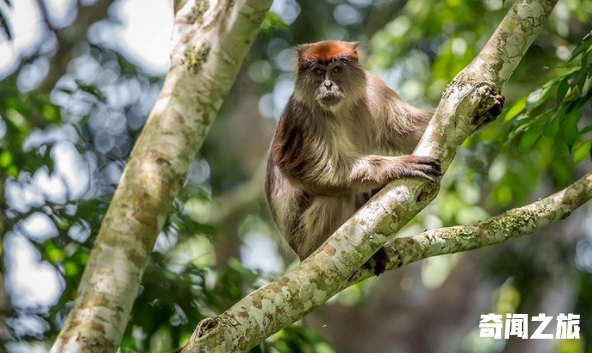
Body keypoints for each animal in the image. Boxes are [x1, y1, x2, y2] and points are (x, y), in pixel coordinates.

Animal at [266, 40, 442, 274]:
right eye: (318, 72)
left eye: (336, 70)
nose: (328, 85)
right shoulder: (303, 116)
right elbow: (324, 173)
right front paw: (402, 164)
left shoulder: (375, 86)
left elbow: (413, 131)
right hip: (306, 240)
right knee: (338, 197)